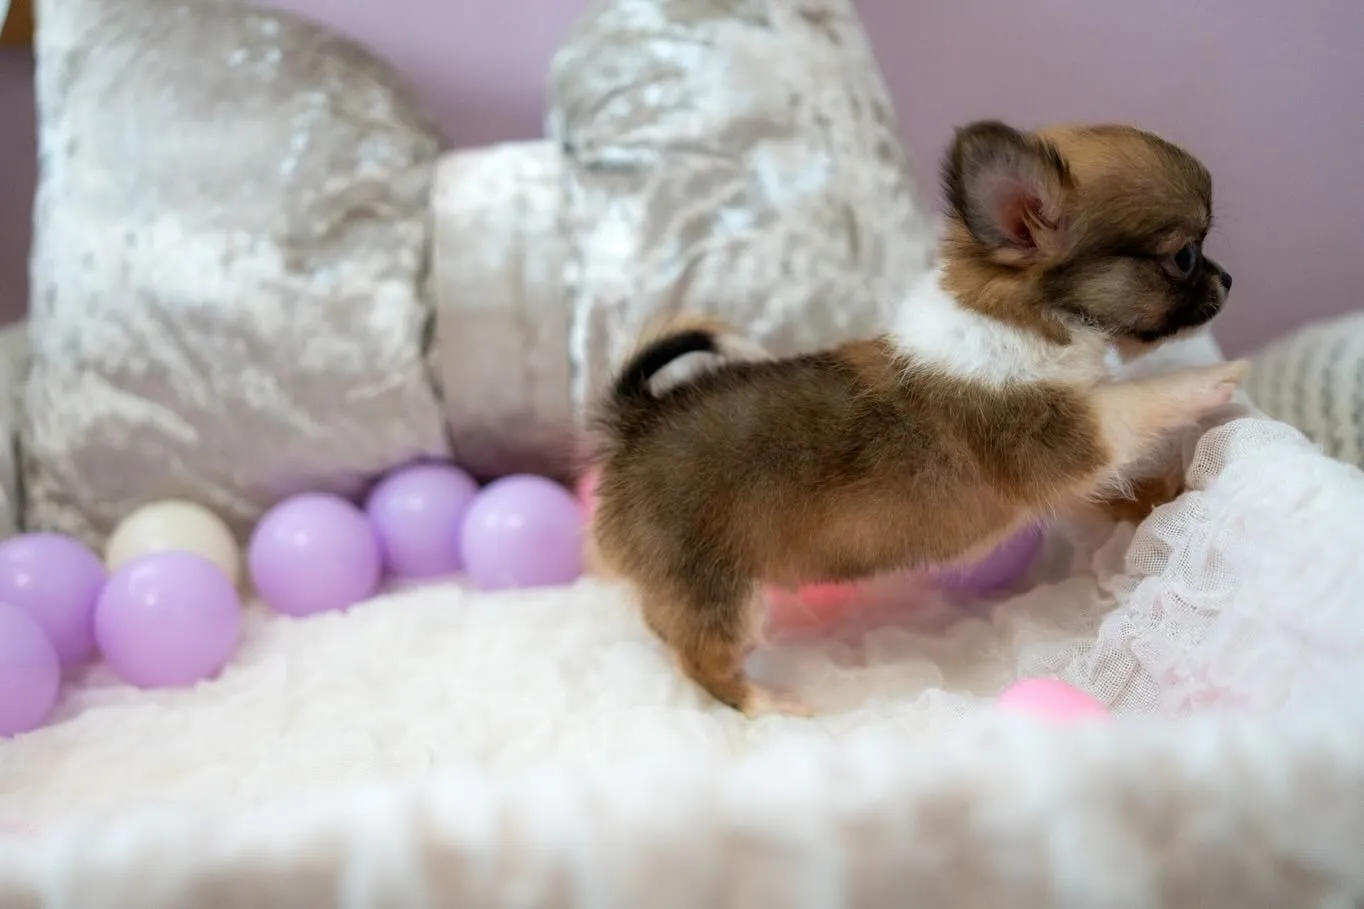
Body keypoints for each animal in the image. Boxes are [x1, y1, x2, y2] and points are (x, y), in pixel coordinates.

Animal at [591, 120, 1243, 715]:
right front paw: (1218, 376)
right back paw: (766, 705)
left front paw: (1160, 498)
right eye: (1185, 257)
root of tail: (632, 424)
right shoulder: (1063, 435)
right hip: (720, 590)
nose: (1230, 279)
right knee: (705, 663)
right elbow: (1142, 397)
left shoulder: (1071, 464)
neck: (1017, 319)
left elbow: (1118, 479)